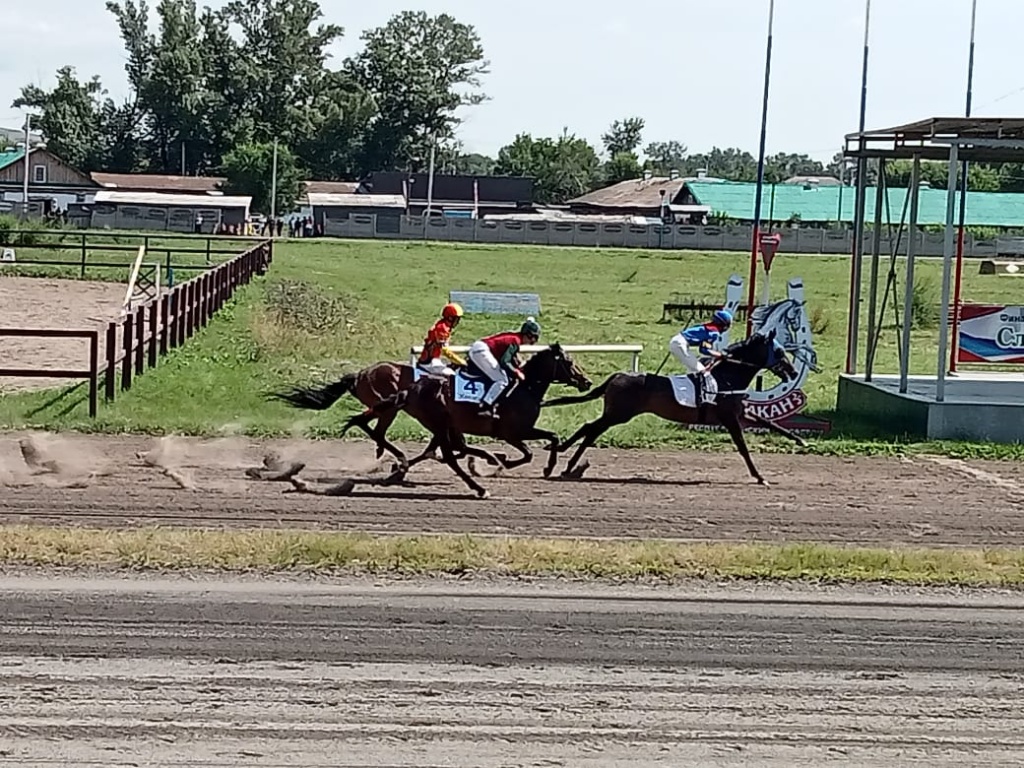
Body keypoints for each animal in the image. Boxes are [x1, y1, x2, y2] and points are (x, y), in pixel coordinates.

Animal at [337, 344, 593, 499]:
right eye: (569, 362)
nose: (587, 382)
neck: (525, 389)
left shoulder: (519, 431)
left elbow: (551, 437)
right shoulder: (512, 432)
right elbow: (531, 452)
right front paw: (503, 462)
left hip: (437, 423)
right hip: (434, 422)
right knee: (449, 455)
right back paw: (478, 487)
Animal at [540, 331, 802, 487]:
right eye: (779, 351)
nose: (792, 372)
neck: (727, 377)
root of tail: (618, 375)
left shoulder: (737, 412)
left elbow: (768, 422)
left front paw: (799, 439)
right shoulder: (729, 418)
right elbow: (743, 448)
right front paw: (760, 477)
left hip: (616, 414)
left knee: (590, 429)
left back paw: (566, 461)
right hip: (619, 414)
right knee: (591, 429)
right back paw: (566, 463)